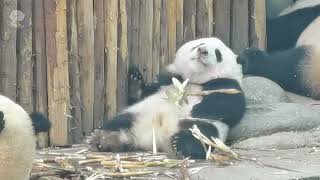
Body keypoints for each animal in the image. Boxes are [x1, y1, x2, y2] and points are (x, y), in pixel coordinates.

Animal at [86, 37, 246, 159]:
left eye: (218, 53)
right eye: (198, 44)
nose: (202, 51)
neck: (194, 79)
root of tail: (154, 140)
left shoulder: (227, 83)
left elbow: (230, 105)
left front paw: (197, 109)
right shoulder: (168, 80)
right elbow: (143, 93)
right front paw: (135, 78)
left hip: (201, 127)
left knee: (201, 136)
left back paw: (180, 144)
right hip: (138, 114)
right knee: (119, 122)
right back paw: (103, 138)